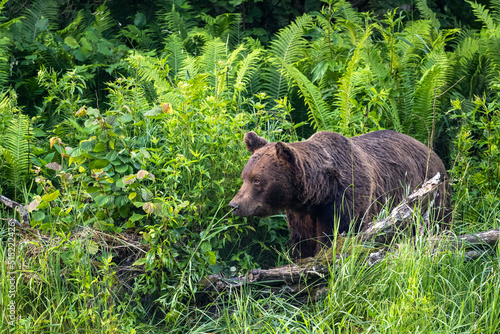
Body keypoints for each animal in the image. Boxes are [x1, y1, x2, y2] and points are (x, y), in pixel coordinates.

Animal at [229, 130, 452, 258]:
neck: (321, 192)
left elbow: (336, 237)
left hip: (431, 197)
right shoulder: (301, 213)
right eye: (244, 177)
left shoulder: (347, 201)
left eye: (257, 180)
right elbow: (302, 241)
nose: (234, 205)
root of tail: (433, 152)